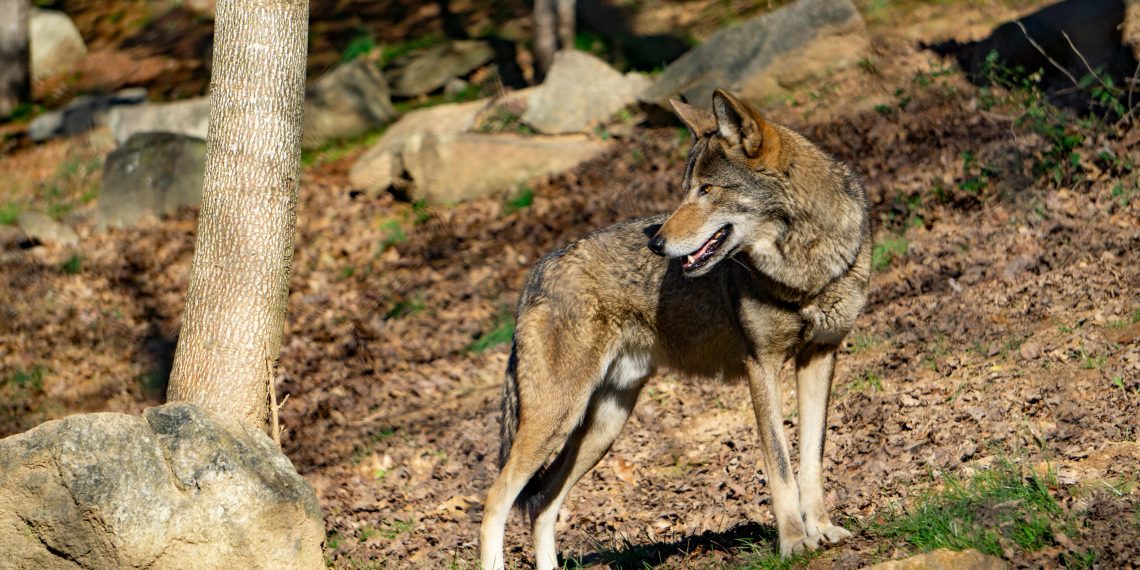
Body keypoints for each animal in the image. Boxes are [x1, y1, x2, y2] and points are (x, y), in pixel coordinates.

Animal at [479, 89, 871, 570]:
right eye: (686, 191)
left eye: (706, 190)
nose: (657, 244)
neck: (803, 271)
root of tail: (536, 272)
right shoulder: (760, 366)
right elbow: (780, 467)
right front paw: (794, 543)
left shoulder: (819, 357)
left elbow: (811, 461)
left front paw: (821, 531)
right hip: (555, 419)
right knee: (496, 499)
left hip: (603, 427)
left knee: (542, 506)